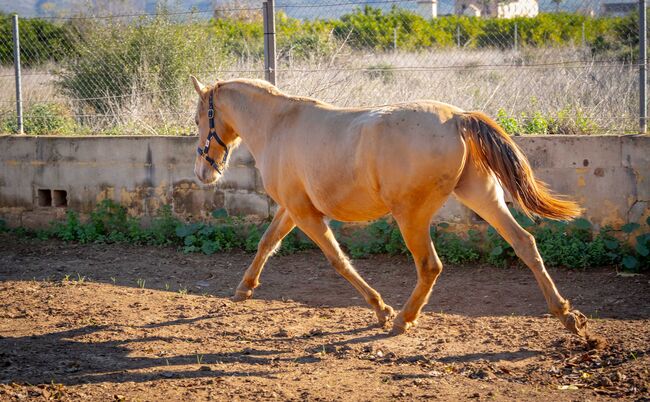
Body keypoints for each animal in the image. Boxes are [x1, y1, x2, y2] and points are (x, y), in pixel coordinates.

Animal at [187, 74, 588, 338]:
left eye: (198, 118)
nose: (203, 172)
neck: (279, 125)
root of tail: (458, 118)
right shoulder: (292, 207)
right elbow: (266, 242)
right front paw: (244, 289)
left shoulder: (305, 213)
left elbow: (338, 260)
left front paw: (380, 309)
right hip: (482, 195)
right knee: (525, 243)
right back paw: (567, 315)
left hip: (411, 215)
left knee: (430, 266)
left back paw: (402, 320)